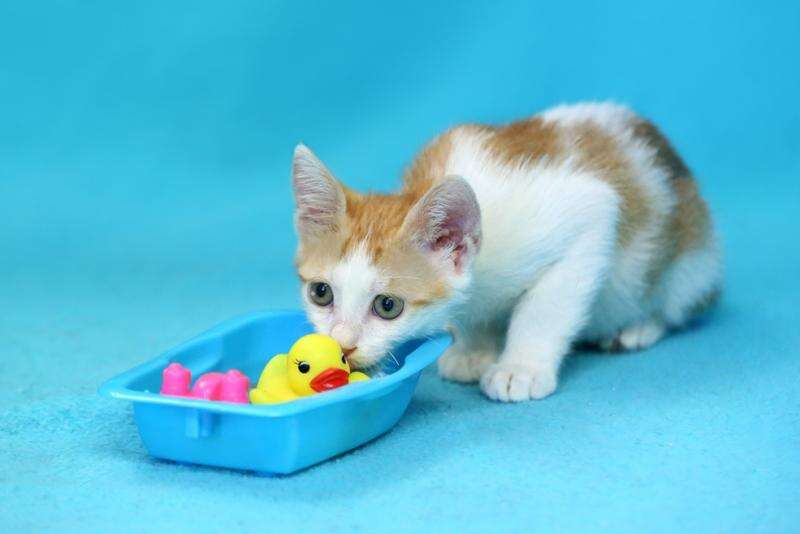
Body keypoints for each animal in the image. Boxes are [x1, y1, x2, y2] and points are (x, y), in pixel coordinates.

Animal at [290, 102, 721, 402]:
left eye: (387, 306)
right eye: (321, 293)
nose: (343, 344)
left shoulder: (590, 215)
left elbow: (545, 309)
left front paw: (520, 367)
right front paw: (474, 348)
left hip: (690, 263)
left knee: (675, 302)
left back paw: (637, 326)